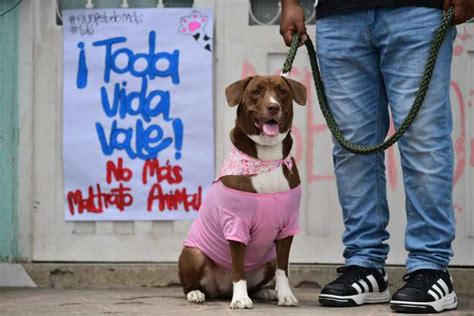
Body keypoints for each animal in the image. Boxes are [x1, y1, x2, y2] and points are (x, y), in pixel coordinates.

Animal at [178, 74, 308, 308]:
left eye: (282, 90)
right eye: (256, 91)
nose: (273, 107)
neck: (267, 158)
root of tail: (221, 289)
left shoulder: (287, 227)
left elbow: (283, 268)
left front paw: (285, 295)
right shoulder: (236, 223)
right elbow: (239, 268)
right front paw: (240, 299)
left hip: (268, 259)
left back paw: (266, 292)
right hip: (193, 253)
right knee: (192, 284)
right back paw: (196, 293)